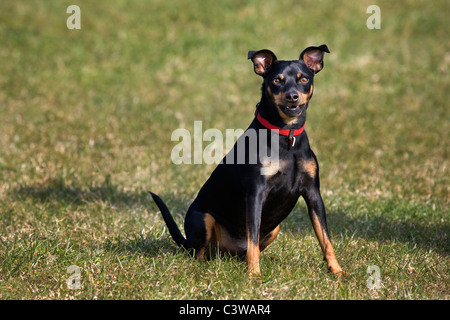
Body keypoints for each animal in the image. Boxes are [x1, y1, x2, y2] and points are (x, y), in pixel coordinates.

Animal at [149, 43, 342, 276]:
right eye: (276, 80)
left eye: (303, 78)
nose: (292, 96)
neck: (286, 136)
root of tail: (226, 253)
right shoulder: (256, 193)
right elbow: (253, 238)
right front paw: (254, 275)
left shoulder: (313, 193)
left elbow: (325, 239)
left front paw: (337, 271)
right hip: (203, 219)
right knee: (201, 253)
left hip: (275, 228)